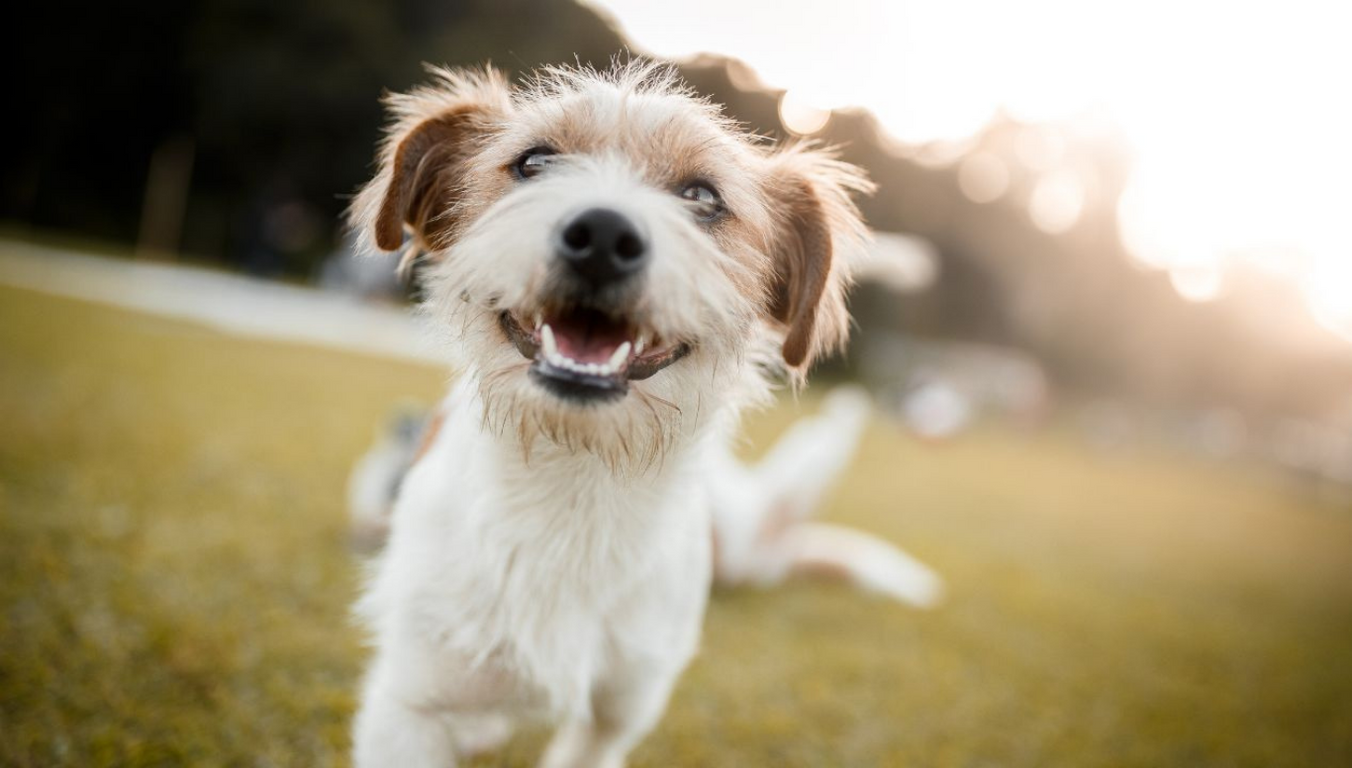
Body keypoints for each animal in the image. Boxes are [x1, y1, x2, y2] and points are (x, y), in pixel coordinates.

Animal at [348, 61, 940, 768]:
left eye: (702, 196)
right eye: (534, 161)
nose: (603, 235)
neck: (575, 477)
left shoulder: (619, 710)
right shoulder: (411, 704)